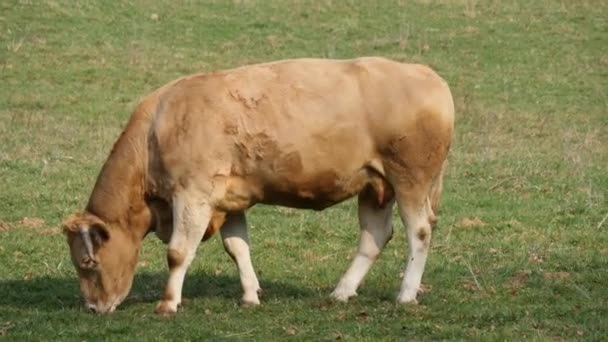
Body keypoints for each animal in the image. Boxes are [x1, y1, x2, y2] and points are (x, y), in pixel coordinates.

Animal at [63, 56, 452, 316]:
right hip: (375, 186)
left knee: (419, 232)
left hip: (411, 179)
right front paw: (250, 294)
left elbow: (178, 252)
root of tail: (429, 77)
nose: (93, 307)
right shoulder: (227, 200)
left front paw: (168, 303)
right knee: (374, 237)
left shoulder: (193, 195)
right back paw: (342, 291)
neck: (157, 129)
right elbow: (237, 248)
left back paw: (406, 293)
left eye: (87, 262)